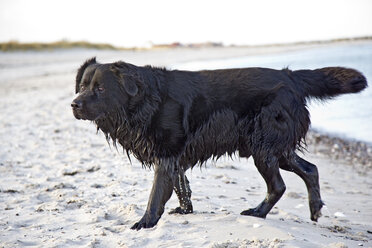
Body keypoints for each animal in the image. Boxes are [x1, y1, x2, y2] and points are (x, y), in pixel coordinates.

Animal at [72, 57, 366, 230]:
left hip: (264, 146)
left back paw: (258, 213)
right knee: (310, 169)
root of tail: (290, 76)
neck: (144, 101)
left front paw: (146, 222)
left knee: (279, 185)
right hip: (275, 148)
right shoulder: (175, 158)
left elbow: (156, 194)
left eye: (100, 89)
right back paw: (314, 209)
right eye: (82, 87)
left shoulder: (166, 155)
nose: (74, 104)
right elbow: (181, 186)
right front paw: (185, 210)